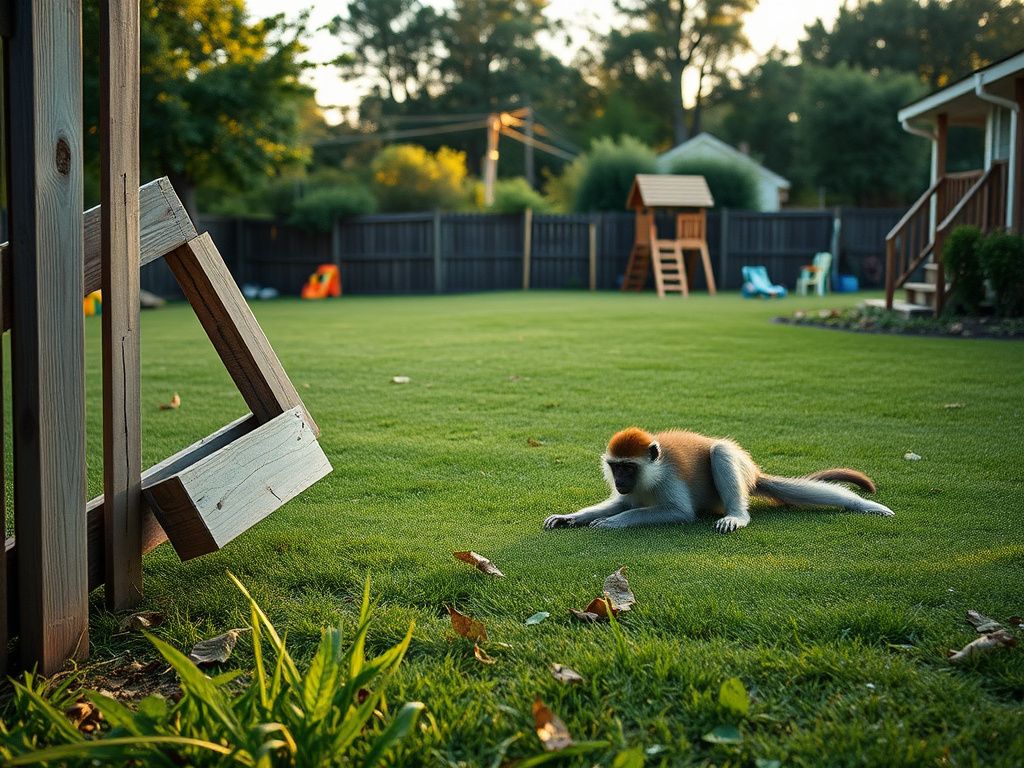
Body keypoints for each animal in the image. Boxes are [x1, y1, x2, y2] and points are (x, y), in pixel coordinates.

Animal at [543, 427, 893, 533]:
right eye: (616, 468)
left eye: (628, 468)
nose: (620, 479)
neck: (649, 475)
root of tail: (752, 472)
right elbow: (621, 503)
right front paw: (569, 517)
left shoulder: (667, 478)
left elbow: (679, 512)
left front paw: (614, 523)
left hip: (735, 471)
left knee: (721, 451)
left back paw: (737, 516)